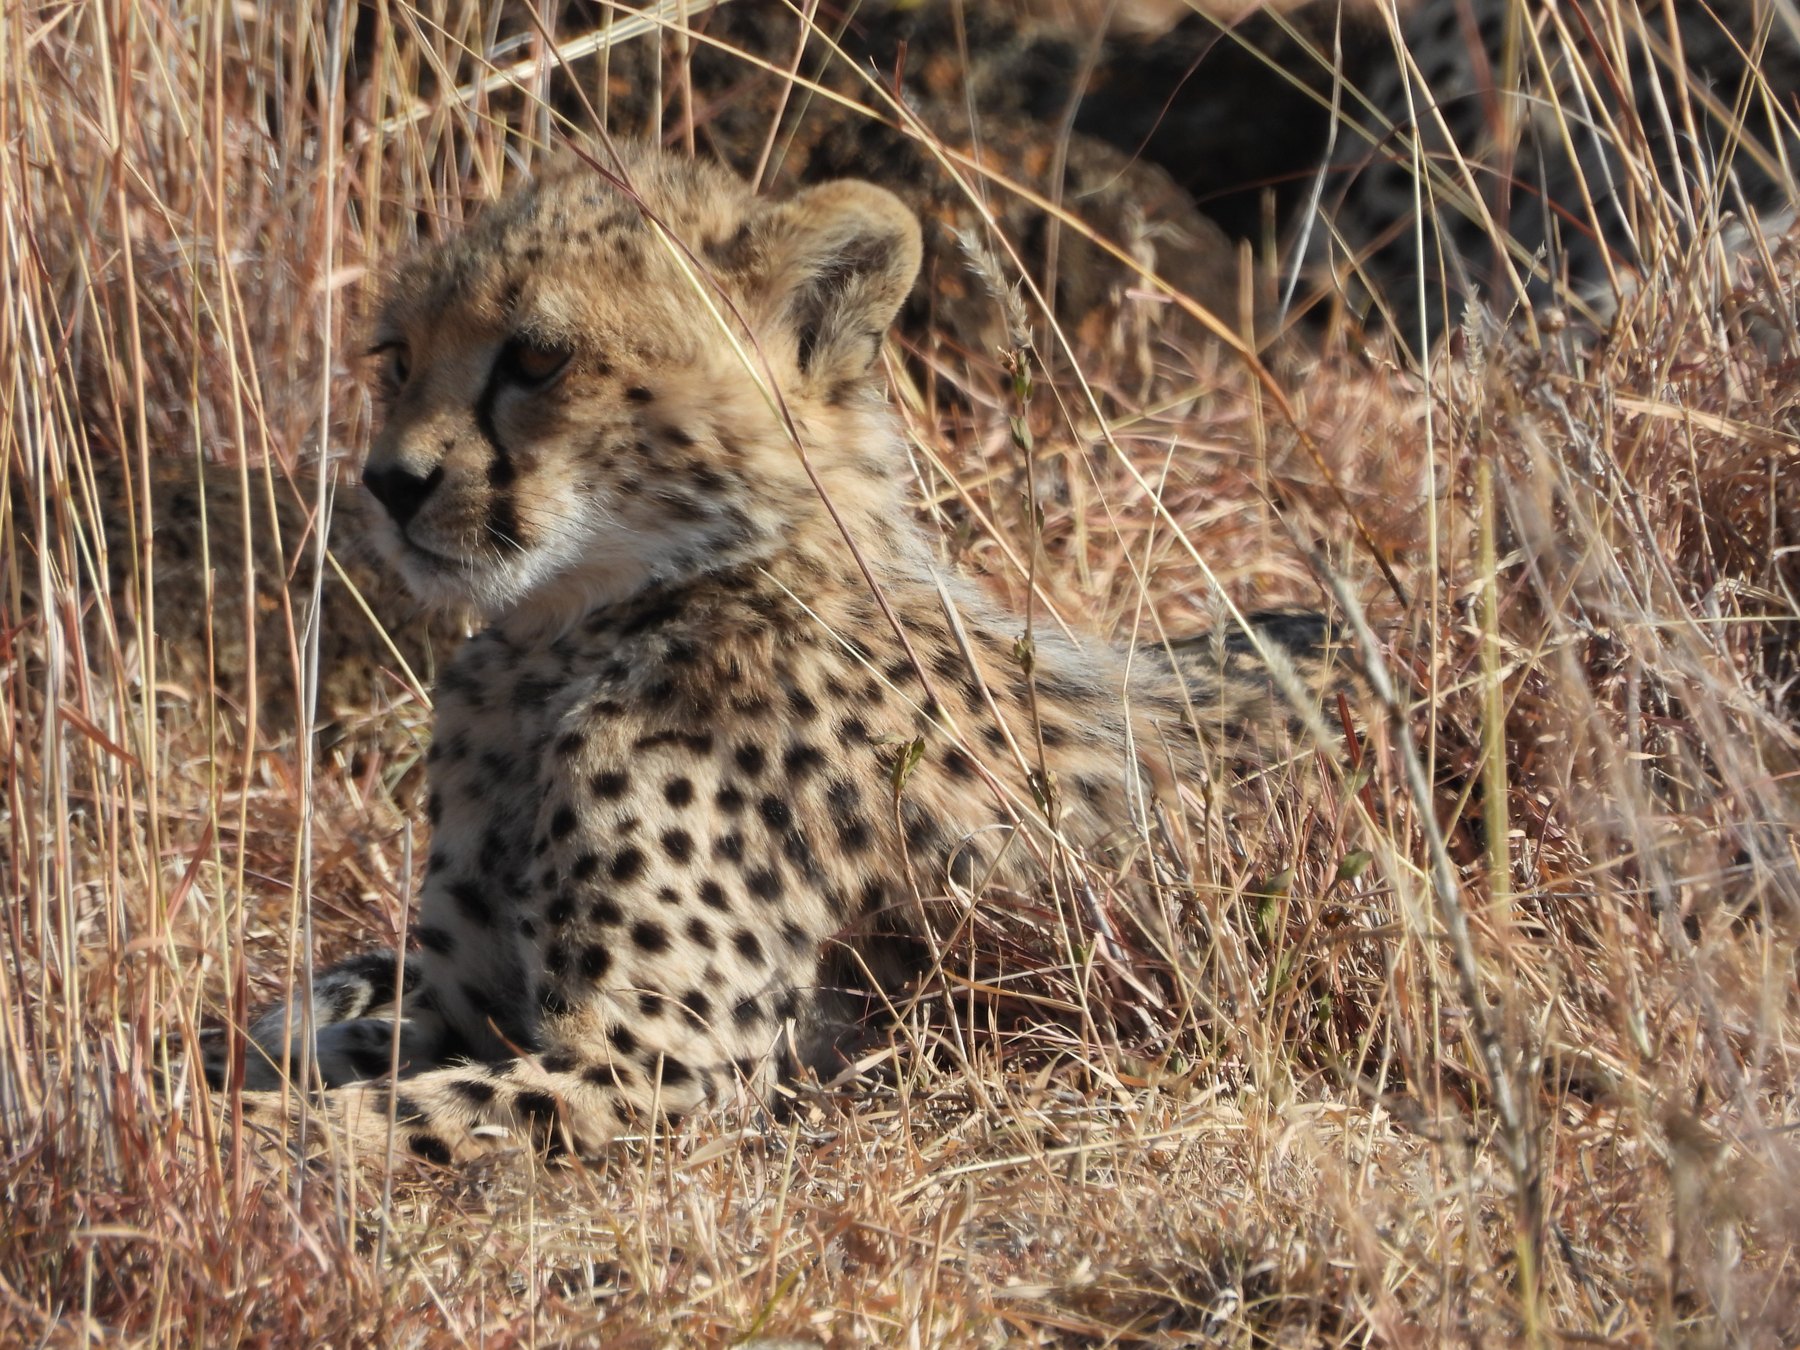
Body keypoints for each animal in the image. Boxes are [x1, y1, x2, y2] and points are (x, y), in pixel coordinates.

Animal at [202, 144, 1346, 1166]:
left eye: (538, 357)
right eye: (397, 358)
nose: (389, 483)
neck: (569, 637)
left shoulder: (660, 1065)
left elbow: (334, 1123)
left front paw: (186, 1152)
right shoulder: (459, 1000)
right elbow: (288, 1042)